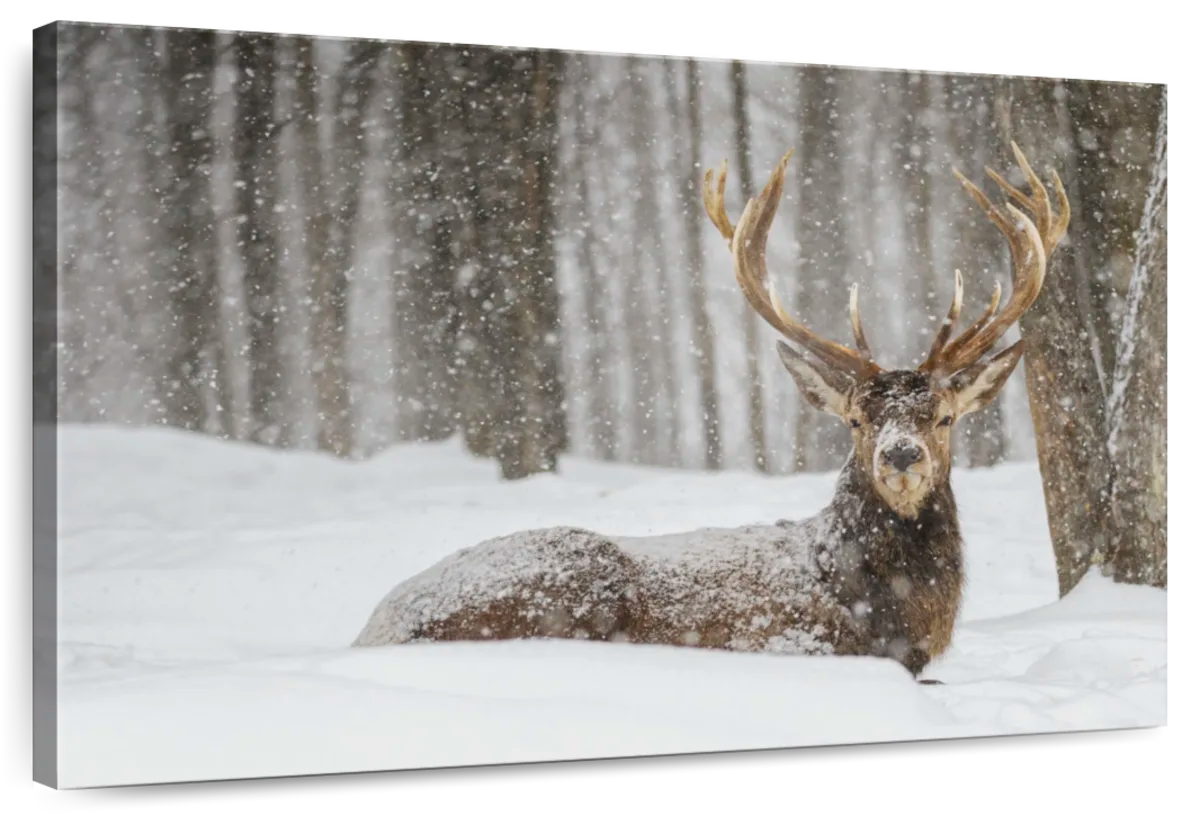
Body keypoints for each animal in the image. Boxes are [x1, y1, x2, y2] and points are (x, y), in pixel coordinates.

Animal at [352, 141, 1069, 683]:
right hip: (566, 585)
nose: (901, 455)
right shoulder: (795, 643)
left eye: (944, 417)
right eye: (856, 421)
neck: (890, 613)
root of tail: (376, 628)